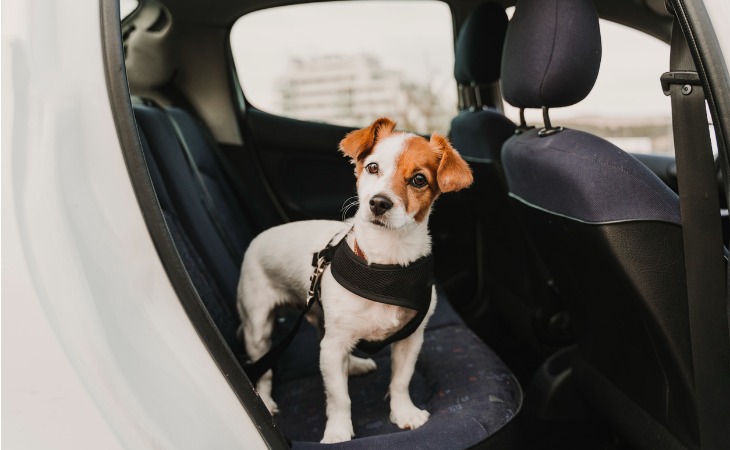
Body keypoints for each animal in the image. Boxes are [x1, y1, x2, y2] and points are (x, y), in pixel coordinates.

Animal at [235, 116, 472, 442]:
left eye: (419, 180)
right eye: (372, 167)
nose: (379, 202)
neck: (385, 264)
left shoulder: (410, 339)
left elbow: (401, 380)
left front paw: (404, 413)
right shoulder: (334, 346)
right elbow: (339, 397)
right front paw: (338, 432)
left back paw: (354, 365)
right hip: (258, 327)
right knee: (266, 369)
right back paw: (267, 402)